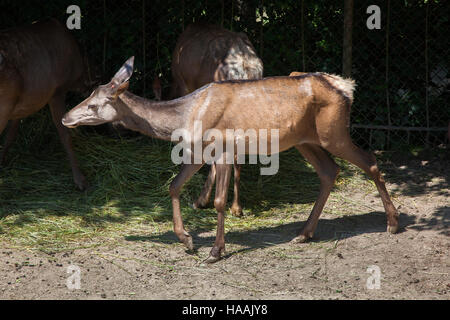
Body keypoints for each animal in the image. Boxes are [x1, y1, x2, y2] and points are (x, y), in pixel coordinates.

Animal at [0, 18, 89, 190]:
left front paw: (2, 162)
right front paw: (80, 180)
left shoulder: (22, 104)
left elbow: (10, 135)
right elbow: (65, 134)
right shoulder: (57, 91)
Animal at [61, 57, 400, 262]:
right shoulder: (197, 153)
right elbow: (173, 186)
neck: (186, 117)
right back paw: (303, 234)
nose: (65, 117)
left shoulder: (222, 150)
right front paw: (187, 240)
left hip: (333, 132)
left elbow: (220, 201)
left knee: (370, 160)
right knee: (330, 171)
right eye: (88, 94)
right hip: (305, 141)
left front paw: (215, 250)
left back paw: (393, 224)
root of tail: (345, 87)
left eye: (94, 104)